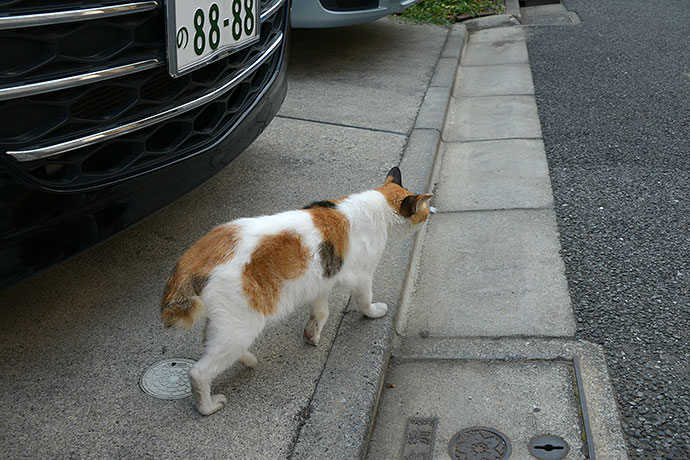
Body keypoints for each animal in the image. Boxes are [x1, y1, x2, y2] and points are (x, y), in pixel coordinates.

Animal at [160, 167, 430, 416]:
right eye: (426, 210)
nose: (433, 213)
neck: (376, 209)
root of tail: (194, 257)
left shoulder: (321, 281)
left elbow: (321, 312)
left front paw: (312, 334)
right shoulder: (362, 276)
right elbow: (365, 300)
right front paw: (374, 312)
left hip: (226, 322)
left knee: (210, 342)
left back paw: (248, 360)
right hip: (240, 324)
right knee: (198, 372)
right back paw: (207, 406)